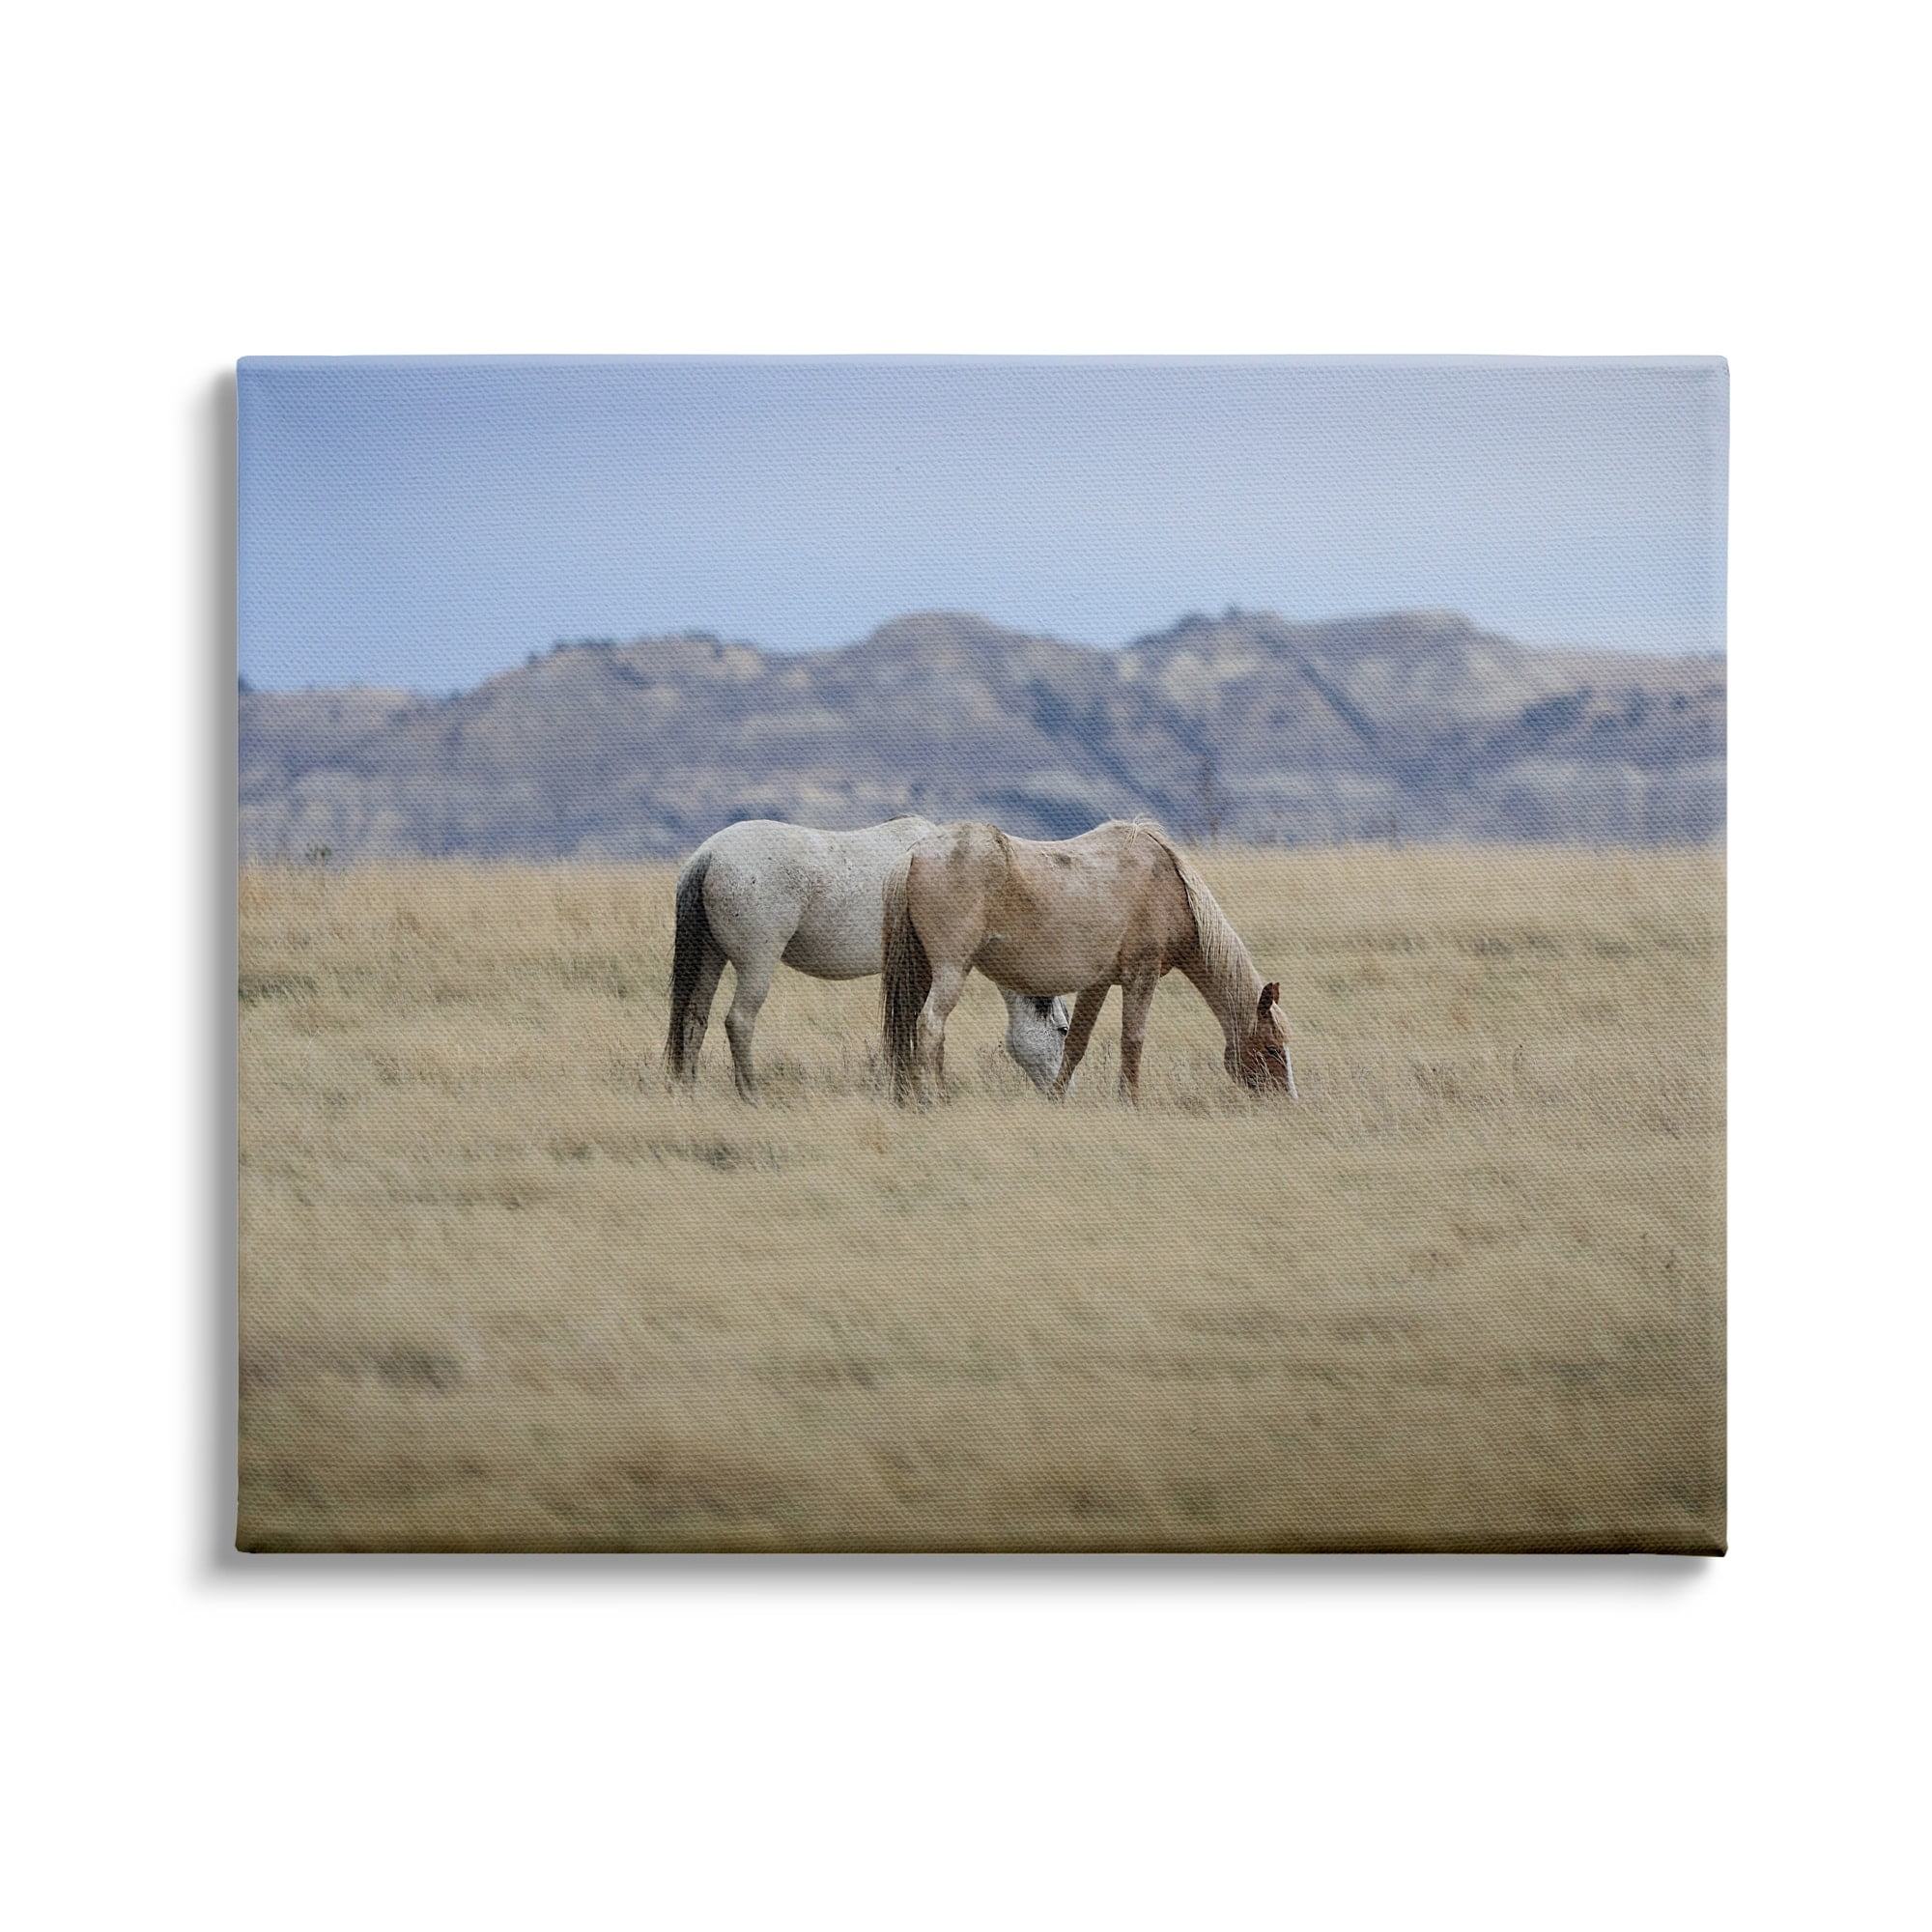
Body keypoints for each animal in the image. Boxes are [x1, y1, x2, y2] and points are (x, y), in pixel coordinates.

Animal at [664, 817, 1071, 1099]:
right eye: (1063, 1030)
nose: (1062, 1091)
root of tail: (709, 855)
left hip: (710, 957)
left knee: (693, 1019)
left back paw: (688, 1089)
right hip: (756, 963)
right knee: (739, 1021)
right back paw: (750, 1093)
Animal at [882, 818, 1296, 1106]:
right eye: (1272, 1049)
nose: (1287, 1102)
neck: (1169, 887)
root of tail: (914, 853)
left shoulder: (1097, 983)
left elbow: (1076, 1043)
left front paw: (1056, 1099)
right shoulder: (1142, 975)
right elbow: (1133, 1039)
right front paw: (1130, 1102)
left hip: (922, 972)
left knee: (911, 1027)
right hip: (951, 970)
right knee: (930, 1026)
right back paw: (934, 1098)